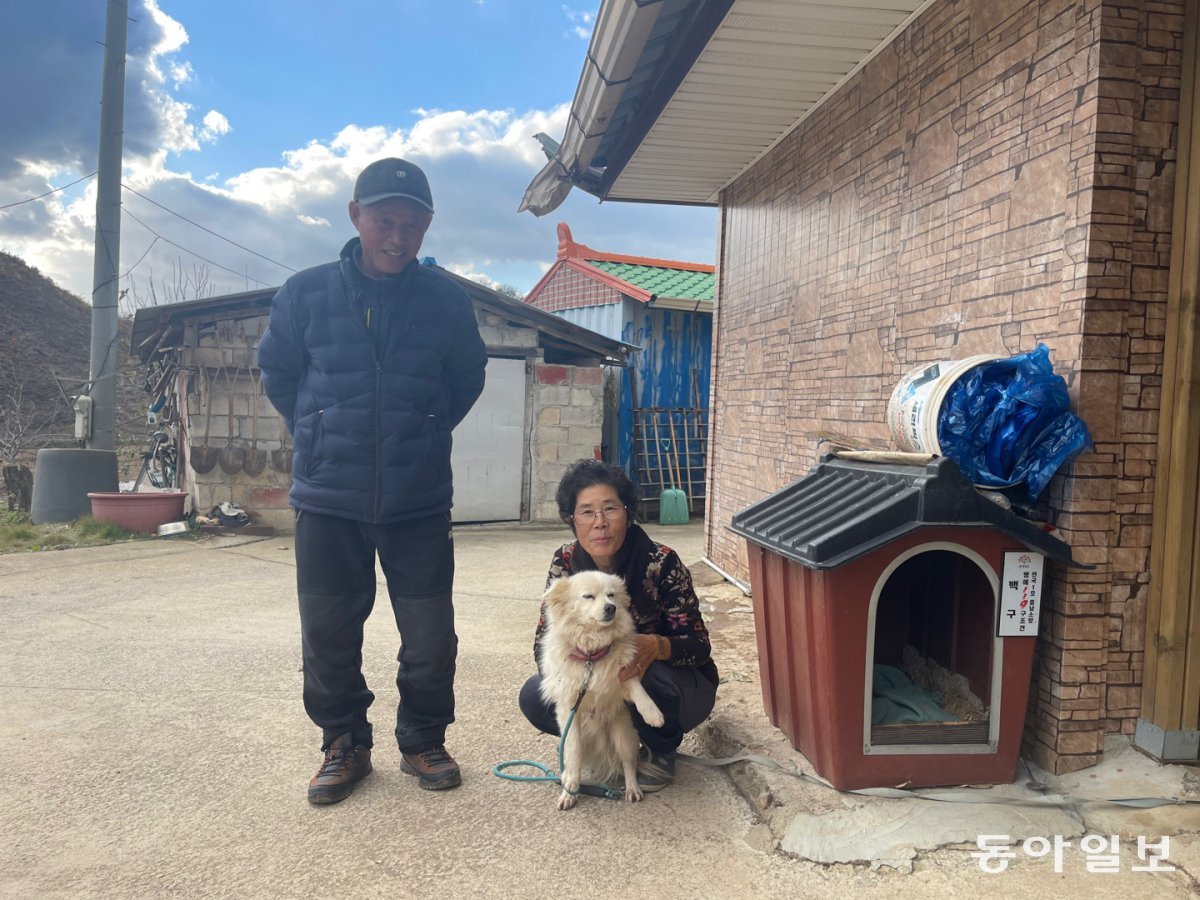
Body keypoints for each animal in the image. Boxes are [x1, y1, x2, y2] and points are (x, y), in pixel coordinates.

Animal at [537, 571, 662, 811]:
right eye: (588, 596)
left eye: (611, 595)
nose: (611, 608)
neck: (591, 655)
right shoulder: (569, 709)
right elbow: (573, 753)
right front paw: (570, 789)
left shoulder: (623, 674)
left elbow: (637, 688)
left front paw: (653, 713)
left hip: (623, 736)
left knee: (629, 764)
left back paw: (633, 789)